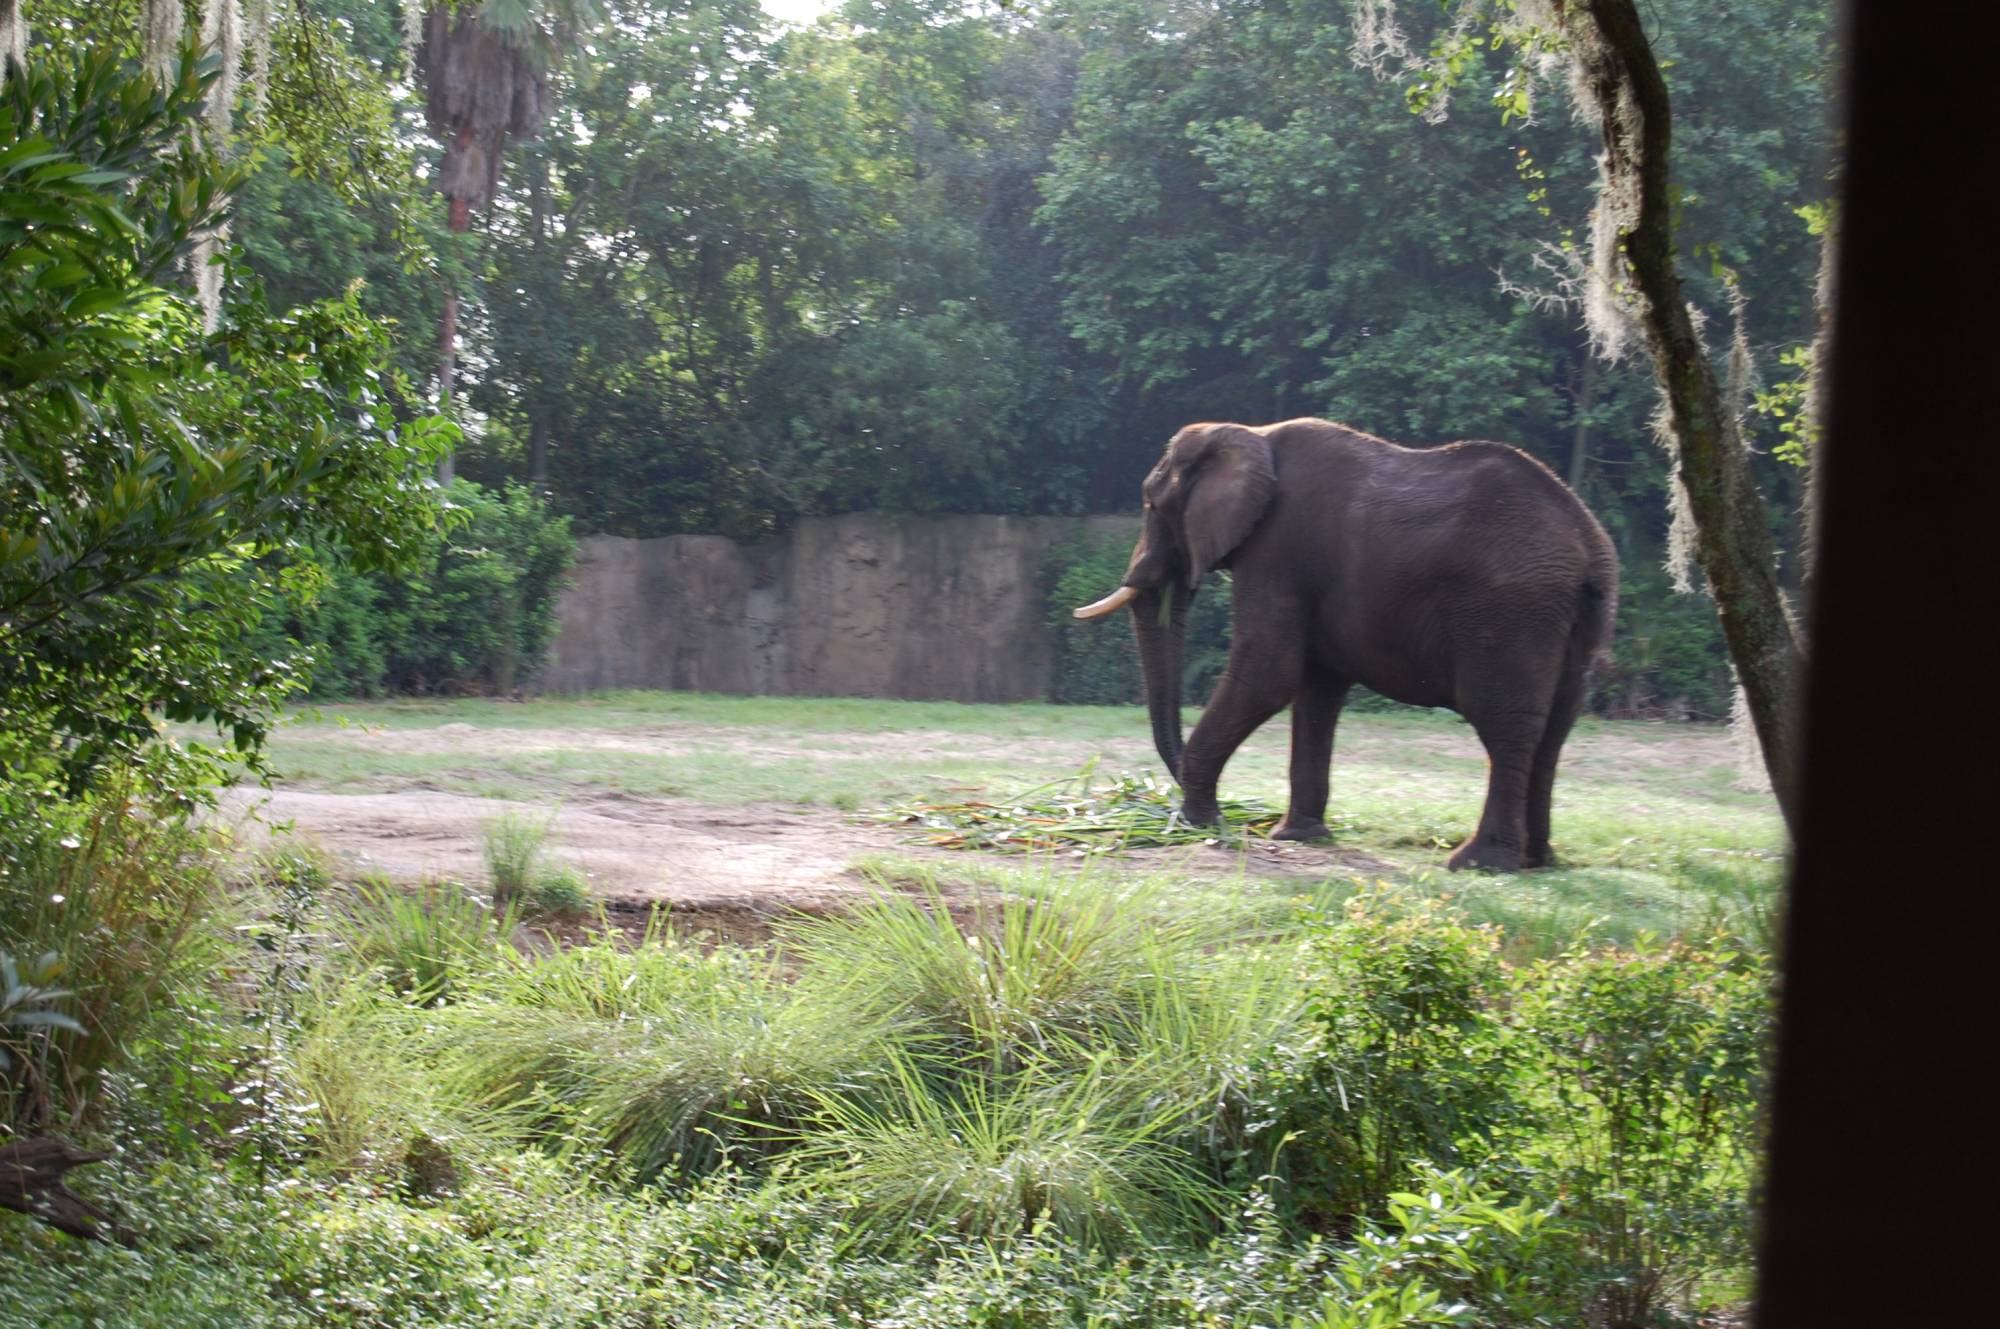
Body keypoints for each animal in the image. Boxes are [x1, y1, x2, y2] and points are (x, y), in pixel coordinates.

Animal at [1072, 418, 1616, 872]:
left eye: (1151, 504)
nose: (1167, 795)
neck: (1249, 434)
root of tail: (1588, 546)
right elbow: (1317, 690)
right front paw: (1298, 837)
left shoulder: (1279, 550)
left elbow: (1267, 675)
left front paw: (1201, 825)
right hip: (1580, 617)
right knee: (1553, 731)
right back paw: (1537, 861)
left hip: (1512, 613)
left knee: (1505, 725)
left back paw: (1479, 864)